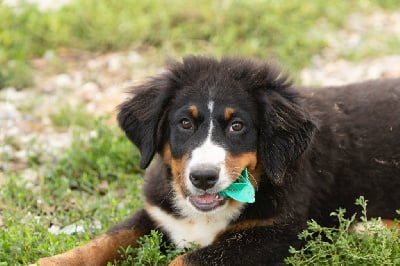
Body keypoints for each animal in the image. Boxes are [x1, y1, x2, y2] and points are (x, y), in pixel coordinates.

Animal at [38, 55, 400, 264]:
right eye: (185, 123)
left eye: (237, 126)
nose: (202, 178)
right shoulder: (157, 212)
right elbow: (105, 240)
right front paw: (50, 262)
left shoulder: (275, 234)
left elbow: (184, 261)